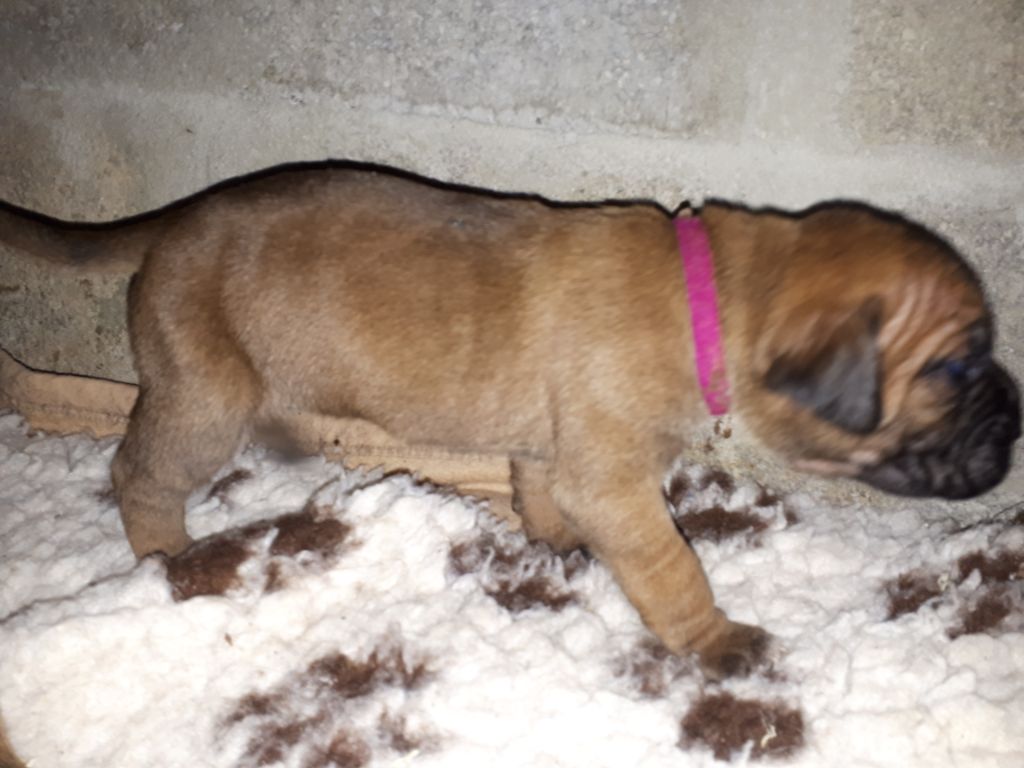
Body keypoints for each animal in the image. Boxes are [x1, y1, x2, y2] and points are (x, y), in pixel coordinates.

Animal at [2, 164, 1019, 678]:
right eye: (958, 366)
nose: (1013, 422)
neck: (716, 296)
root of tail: (171, 225)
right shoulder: (616, 482)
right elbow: (671, 568)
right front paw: (717, 642)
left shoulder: (556, 448)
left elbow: (539, 490)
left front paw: (552, 544)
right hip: (202, 403)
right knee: (139, 475)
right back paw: (165, 562)